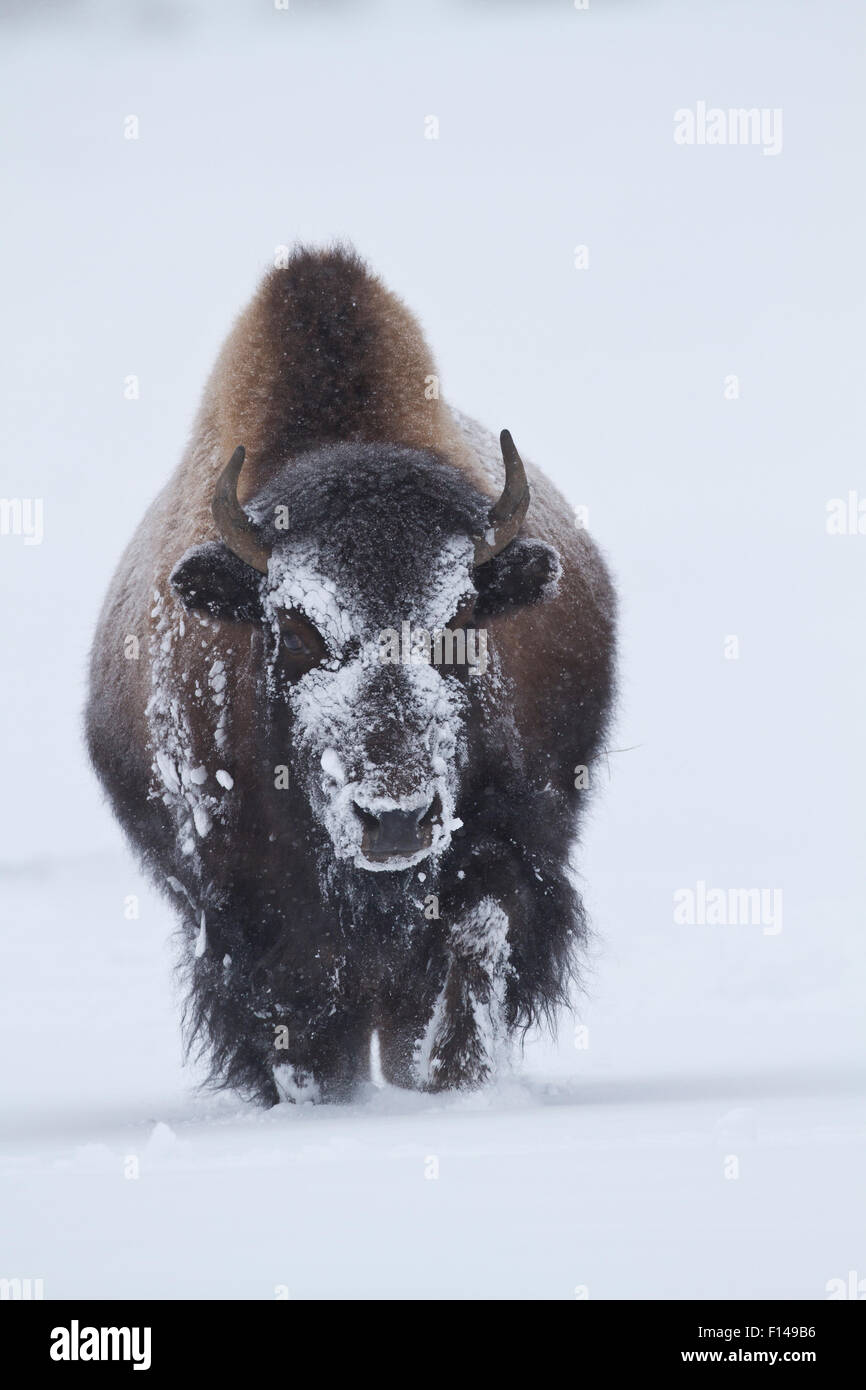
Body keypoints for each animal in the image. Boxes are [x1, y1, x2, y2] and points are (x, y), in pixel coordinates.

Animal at [86, 244, 617, 1100]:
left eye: (462, 620)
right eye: (296, 629)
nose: (395, 818)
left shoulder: (502, 857)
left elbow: (471, 959)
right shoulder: (249, 919)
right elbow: (298, 1034)